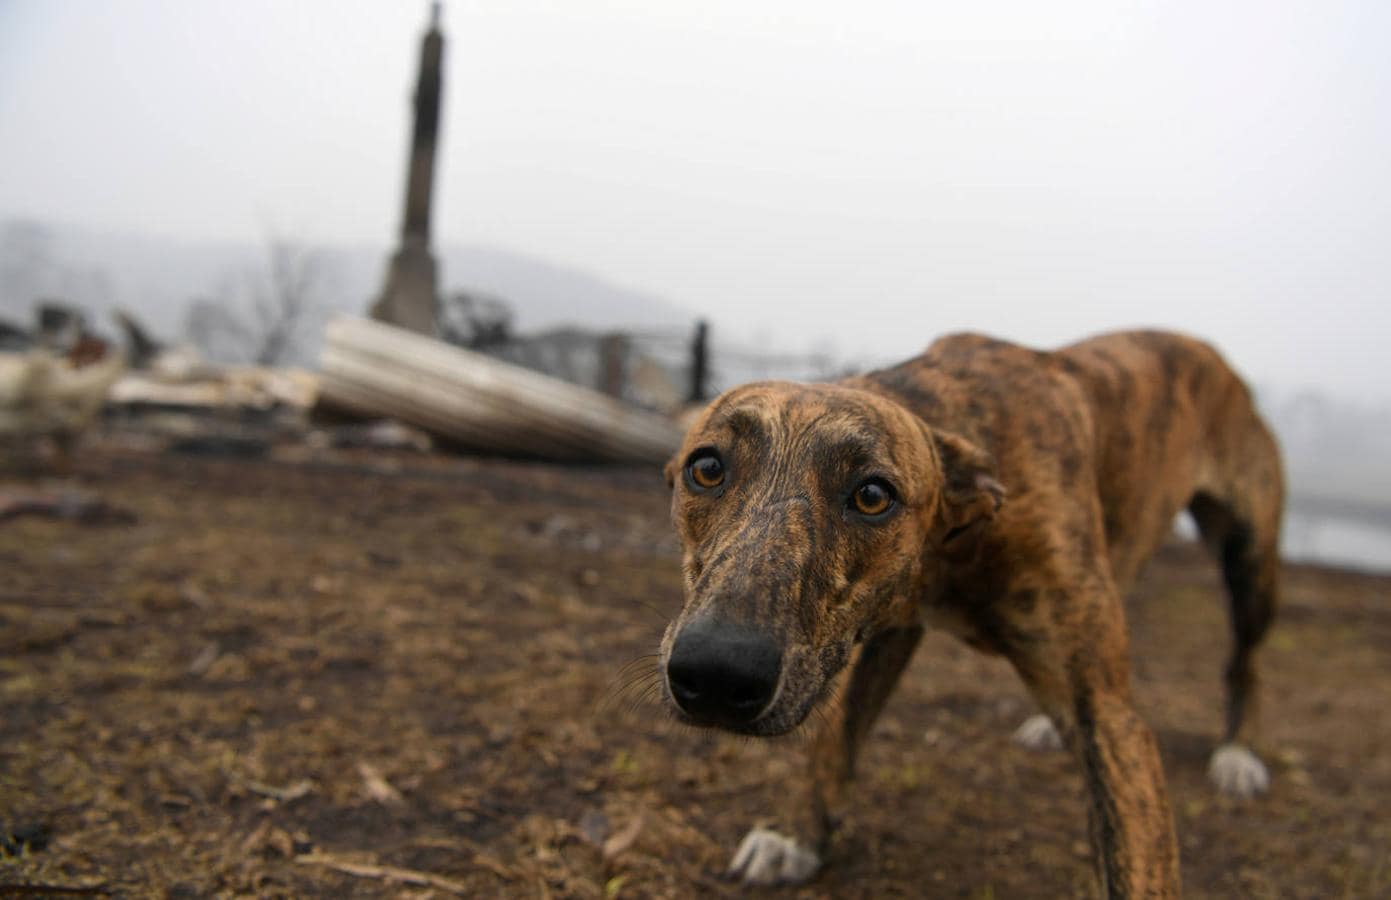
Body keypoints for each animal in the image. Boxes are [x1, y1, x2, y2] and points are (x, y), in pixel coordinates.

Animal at [662, 332, 1279, 900]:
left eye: (872, 495)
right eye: (707, 467)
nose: (717, 675)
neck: (958, 537)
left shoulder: (1110, 716)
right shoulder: (889, 627)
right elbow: (837, 736)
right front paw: (796, 837)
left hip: (1251, 566)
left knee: (1246, 663)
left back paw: (1239, 756)